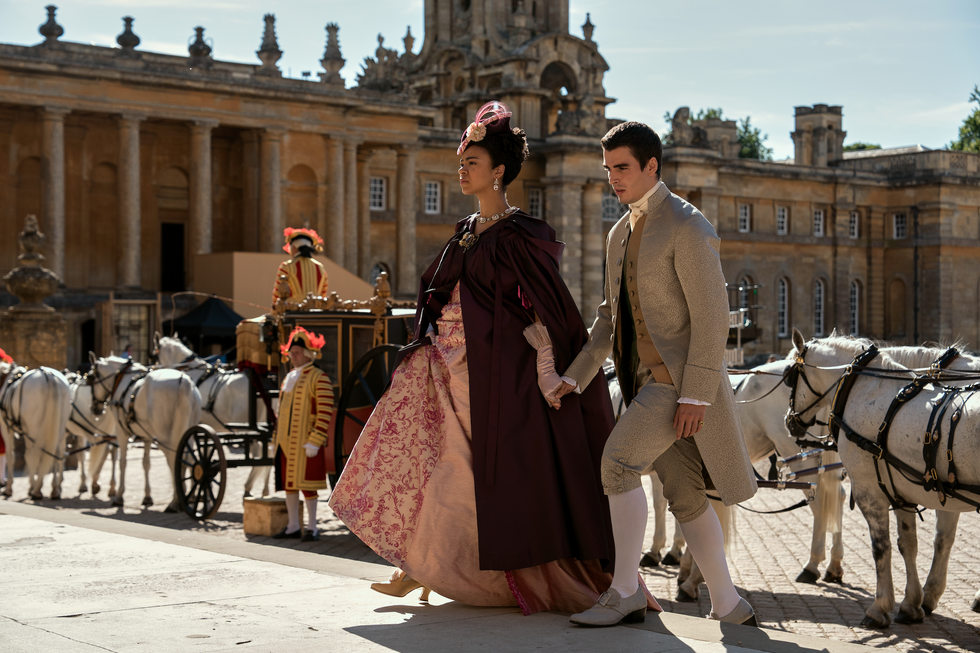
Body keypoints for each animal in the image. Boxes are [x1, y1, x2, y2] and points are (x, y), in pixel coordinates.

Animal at [0, 362, 71, 500]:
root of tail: (48, 375)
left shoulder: (7, 428)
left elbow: (12, 456)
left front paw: (9, 488)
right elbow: (27, 456)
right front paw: (30, 486)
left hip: (34, 428)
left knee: (35, 454)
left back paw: (37, 490)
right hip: (58, 426)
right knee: (55, 453)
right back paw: (54, 489)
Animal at [87, 352, 202, 510]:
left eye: (91, 378)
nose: (95, 409)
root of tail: (184, 382)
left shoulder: (122, 432)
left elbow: (122, 462)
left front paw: (119, 496)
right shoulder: (146, 434)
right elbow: (146, 463)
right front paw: (147, 497)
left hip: (165, 437)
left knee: (174, 459)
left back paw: (175, 501)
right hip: (188, 430)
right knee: (189, 458)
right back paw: (189, 496)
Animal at [784, 332, 980, 628]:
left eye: (789, 376)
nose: (789, 422)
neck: (868, 391)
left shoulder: (869, 491)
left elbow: (881, 547)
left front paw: (880, 607)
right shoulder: (903, 490)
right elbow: (910, 545)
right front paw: (912, 604)